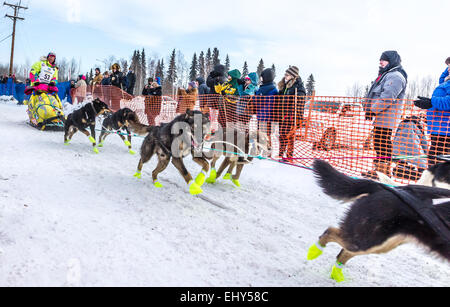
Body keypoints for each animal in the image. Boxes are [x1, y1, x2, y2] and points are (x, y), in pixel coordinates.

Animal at [308, 161, 450, 284]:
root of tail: (384, 188)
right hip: (365, 240)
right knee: (330, 232)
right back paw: (315, 251)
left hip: (382, 243)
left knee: (343, 253)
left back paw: (337, 275)